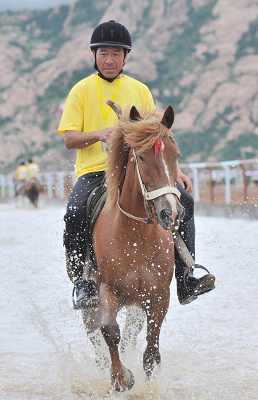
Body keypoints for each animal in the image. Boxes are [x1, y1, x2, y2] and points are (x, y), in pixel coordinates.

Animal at [91, 104, 184, 390]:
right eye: (141, 158)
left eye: (176, 155)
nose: (170, 212)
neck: (137, 237)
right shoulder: (107, 289)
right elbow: (109, 331)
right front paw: (120, 378)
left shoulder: (159, 296)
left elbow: (151, 351)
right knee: (94, 333)